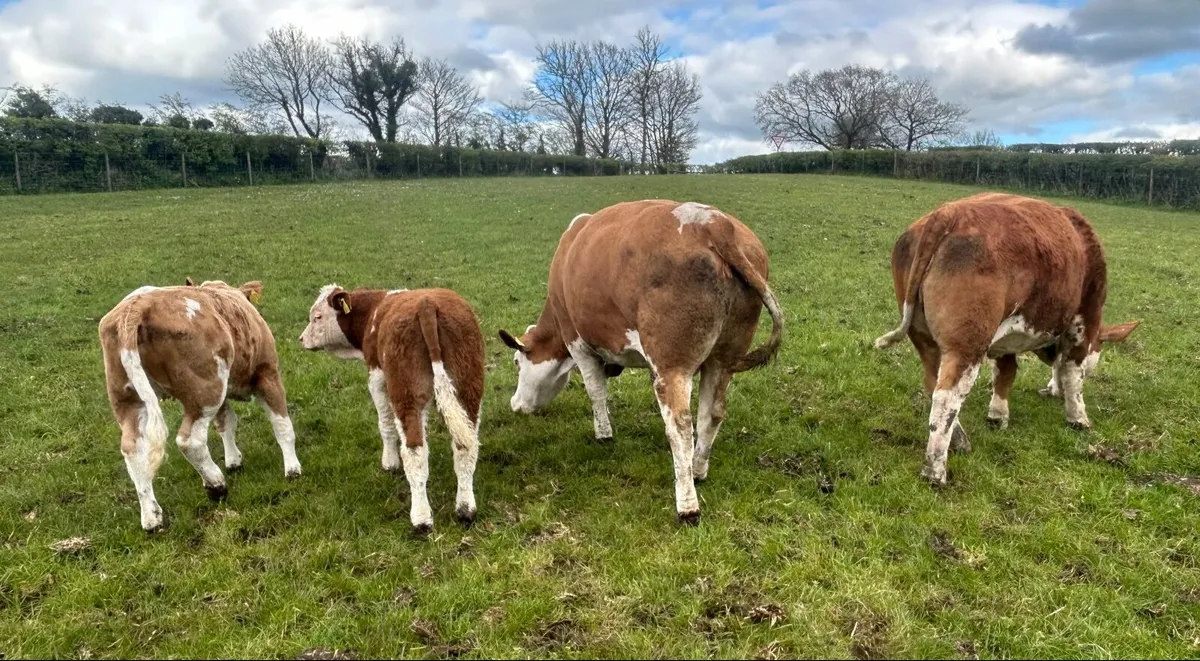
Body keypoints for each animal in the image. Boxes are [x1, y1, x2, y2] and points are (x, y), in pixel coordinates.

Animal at [99, 279, 302, 532]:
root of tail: (138, 305)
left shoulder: (225, 395)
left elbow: (227, 423)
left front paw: (233, 460)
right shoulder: (267, 373)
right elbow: (282, 424)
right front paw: (292, 469)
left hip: (129, 399)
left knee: (133, 449)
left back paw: (152, 519)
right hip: (205, 391)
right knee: (190, 441)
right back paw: (216, 486)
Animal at [299, 285, 485, 535]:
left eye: (317, 317)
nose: (301, 339)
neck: (375, 310)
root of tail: (427, 304)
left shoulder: (377, 377)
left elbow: (385, 425)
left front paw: (389, 462)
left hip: (405, 393)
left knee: (415, 451)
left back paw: (421, 519)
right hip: (468, 388)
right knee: (465, 445)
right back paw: (465, 509)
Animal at [497, 199, 784, 525]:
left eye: (517, 362)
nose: (515, 404)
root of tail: (713, 224)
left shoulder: (577, 342)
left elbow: (595, 392)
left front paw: (603, 434)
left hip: (672, 368)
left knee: (680, 426)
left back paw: (687, 505)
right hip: (722, 361)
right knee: (711, 414)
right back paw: (697, 471)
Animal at [874, 192, 1140, 485]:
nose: (1051, 391)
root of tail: (949, 213)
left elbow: (1006, 372)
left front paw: (998, 414)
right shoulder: (1084, 319)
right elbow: (1072, 373)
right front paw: (1077, 417)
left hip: (924, 337)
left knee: (932, 383)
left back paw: (958, 441)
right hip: (967, 345)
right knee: (946, 397)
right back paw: (935, 470)